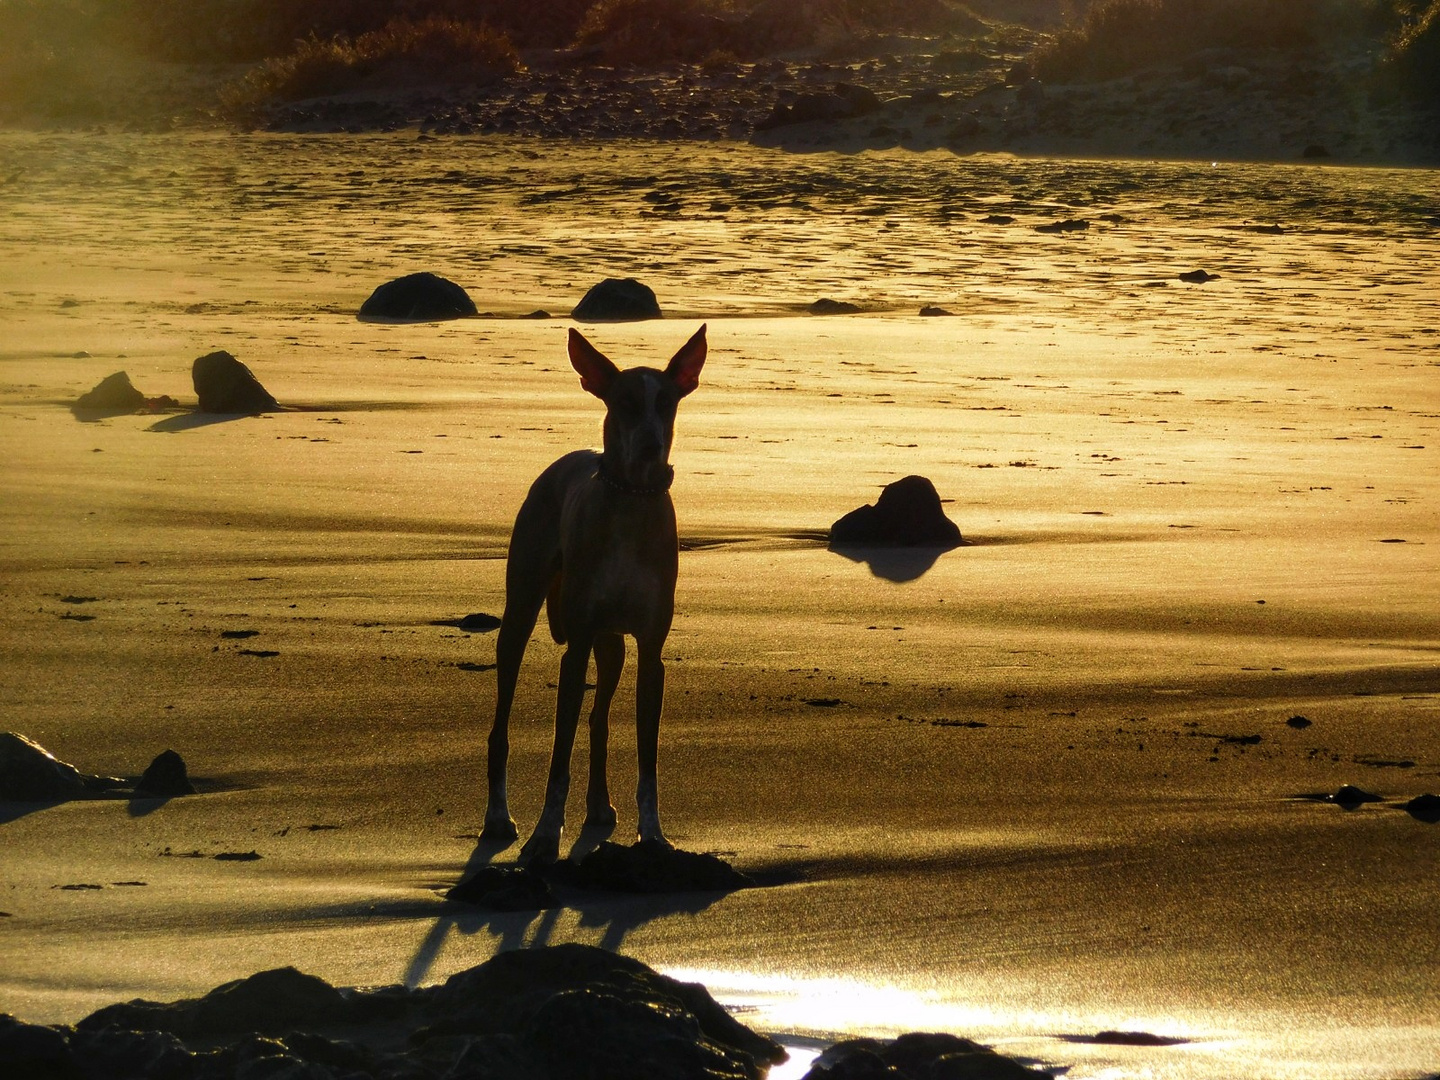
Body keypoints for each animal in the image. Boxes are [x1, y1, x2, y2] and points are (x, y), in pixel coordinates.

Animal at [483, 321, 708, 864]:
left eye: (665, 402)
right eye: (624, 402)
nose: (650, 446)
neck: (632, 501)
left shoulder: (650, 652)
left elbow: (647, 760)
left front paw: (654, 835)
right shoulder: (578, 643)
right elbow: (557, 757)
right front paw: (545, 836)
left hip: (612, 647)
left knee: (599, 719)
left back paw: (600, 807)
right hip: (522, 610)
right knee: (501, 722)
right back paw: (498, 817)